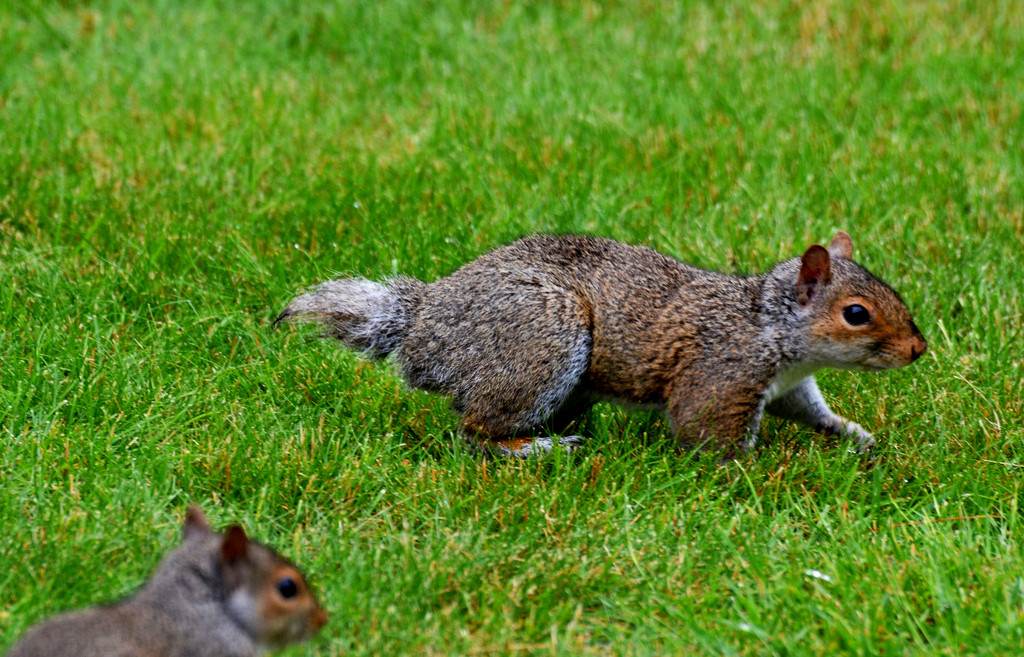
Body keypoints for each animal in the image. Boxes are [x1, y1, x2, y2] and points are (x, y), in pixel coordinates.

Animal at [274, 233, 929, 458]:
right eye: (856, 314)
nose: (918, 350)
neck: (769, 325)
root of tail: (424, 324)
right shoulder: (722, 374)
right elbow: (706, 433)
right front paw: (761, 472)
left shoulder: (789, 387)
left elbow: (814, 414)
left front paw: (856, 437)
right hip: (541, 343)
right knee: (476, 430)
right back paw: (537, 447)